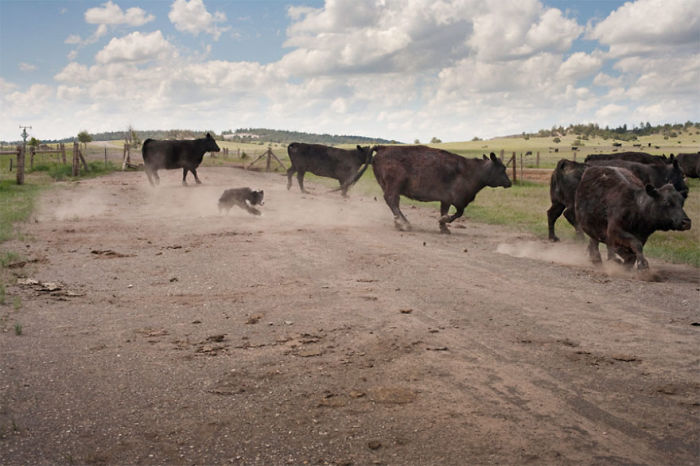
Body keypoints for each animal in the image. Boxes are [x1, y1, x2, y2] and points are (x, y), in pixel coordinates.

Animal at [370, 146, 512, 233]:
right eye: (502, 169)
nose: (509, 183)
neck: (471, 171)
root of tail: (383, 148)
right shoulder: (456, 200)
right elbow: (458, 213)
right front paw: (443, 221)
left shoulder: (446, 200)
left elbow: (446, 211)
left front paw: (444, 228)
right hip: (394, 186)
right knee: (392, 200)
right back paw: (402, 223)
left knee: (394, 203)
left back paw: (402, 222)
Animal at [548, 158, 688, 242]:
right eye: (682, 174)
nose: (686, 190)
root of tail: (567, 164)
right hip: (571, 204)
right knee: (569, 215)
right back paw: (580, 239)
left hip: (558, 203)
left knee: (552, 214)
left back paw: (553, 237)